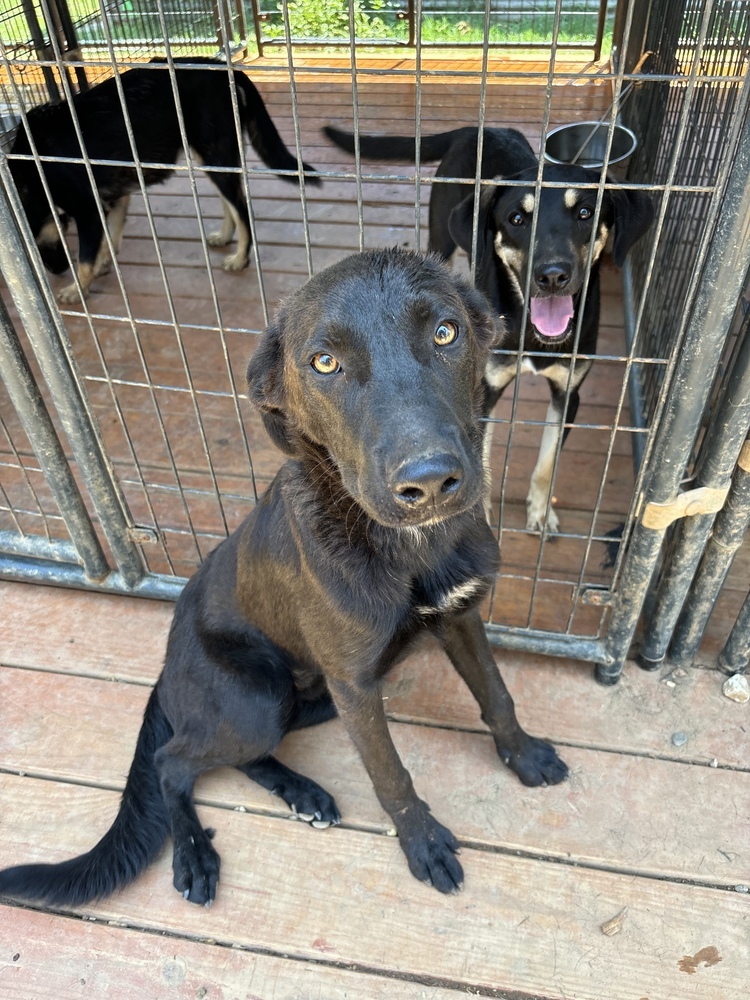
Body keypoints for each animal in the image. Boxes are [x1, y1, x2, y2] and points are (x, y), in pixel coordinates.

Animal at [0, 248, 568, 908]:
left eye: (446, 332)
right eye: (325, 362)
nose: (429, 483)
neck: (412, 550)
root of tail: (167, 671)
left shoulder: (458, 618)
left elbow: (496, 695)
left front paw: (524, 755)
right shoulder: (355, 685)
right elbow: (390, 773)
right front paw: (422, 843)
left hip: (309, 700)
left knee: (240, 757)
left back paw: (304, 793)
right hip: (260, 699)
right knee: (172, 762)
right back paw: (193, 854)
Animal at [8, 57, 320, 300]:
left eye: (34, 245)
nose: (57, 271)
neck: (31, 172)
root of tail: (225, 68)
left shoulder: (88, 210)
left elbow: (86, 256)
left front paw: (77, 288)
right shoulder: (115, 196)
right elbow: (110, 235)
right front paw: (103, 263)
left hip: (215, 158)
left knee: (242, 209)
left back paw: (241, 258)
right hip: (211, 159)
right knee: (232, 201)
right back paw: (225, 236)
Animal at [326, 126, 656, 532]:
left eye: (585, 213)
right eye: (516, 219)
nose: (552, 276)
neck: (534, 335)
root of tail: (480, 129)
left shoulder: (568, 394)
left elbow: (547, 463)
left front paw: (540, 511)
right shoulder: (483, 391)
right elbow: (481, 457)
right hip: (441, 236)